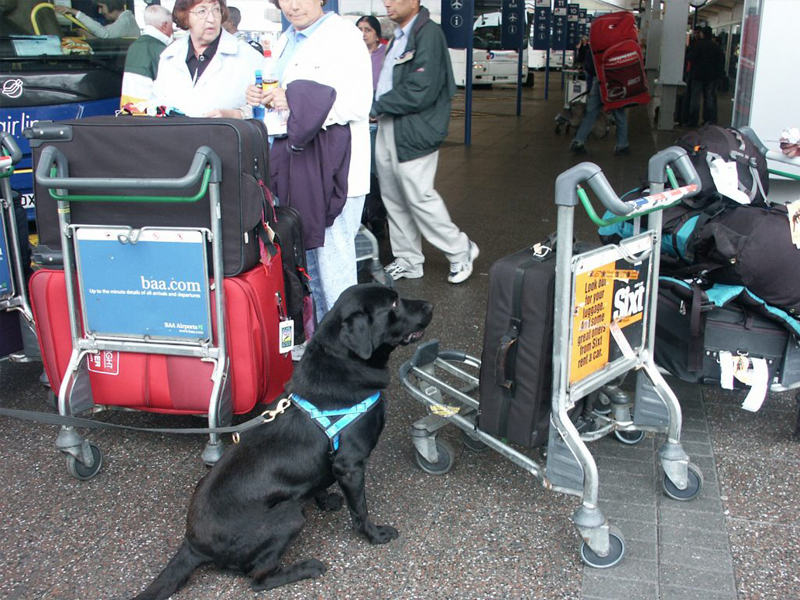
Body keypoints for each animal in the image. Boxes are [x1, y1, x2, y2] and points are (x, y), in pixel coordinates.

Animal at [133, 284, 432, 596]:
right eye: (394, 303)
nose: (430, 306)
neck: (342, 363)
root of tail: (192, 544)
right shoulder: (350, 465)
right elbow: (360, 510)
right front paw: (375, 534)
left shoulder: (331, 464)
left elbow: (318, 482)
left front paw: (325, 501)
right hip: (290, 514)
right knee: (259, 579)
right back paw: (306, 568)